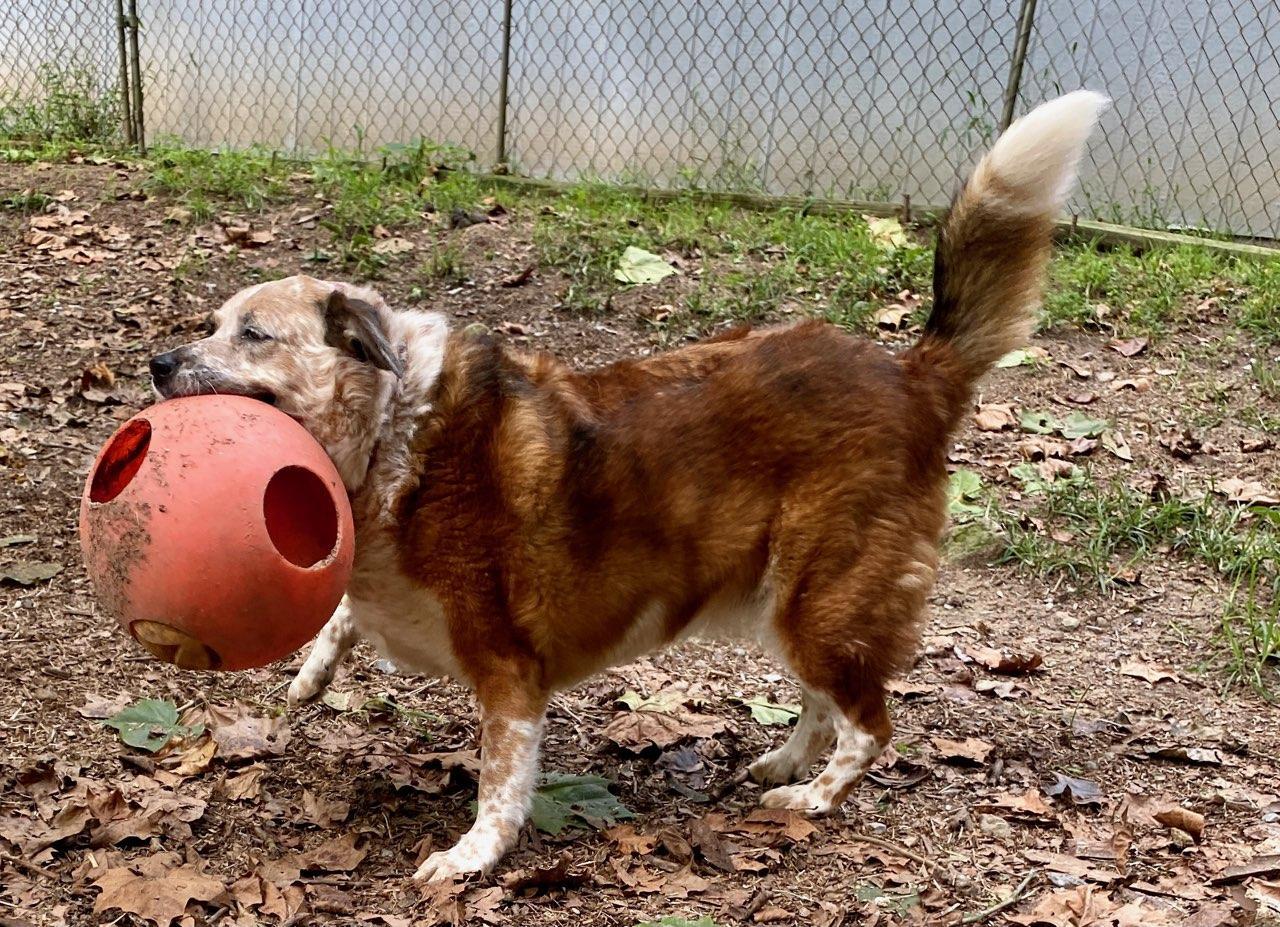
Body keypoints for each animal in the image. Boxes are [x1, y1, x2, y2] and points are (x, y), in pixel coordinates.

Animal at [149, 94, 1105, 886]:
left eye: (253, 334)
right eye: (210, 324)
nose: (157, 362)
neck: (396, 430)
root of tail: (913, 373)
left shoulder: (508, 669)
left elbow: (500, 782)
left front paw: (471, 858)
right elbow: (344, 614)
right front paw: (312, 675)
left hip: (821, 598)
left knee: (870, 722)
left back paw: (813, 798)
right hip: (790, 601)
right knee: (824, 700)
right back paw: (784, 764)